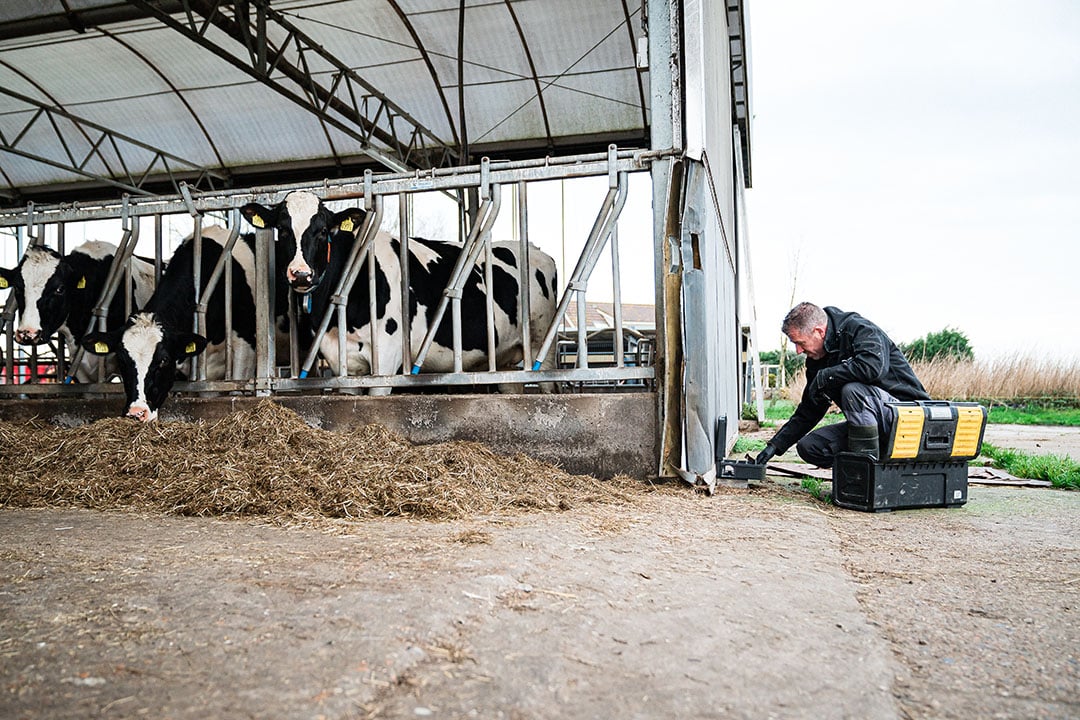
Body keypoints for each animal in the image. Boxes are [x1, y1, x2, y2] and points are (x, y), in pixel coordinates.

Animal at [241, 188, 561, 390]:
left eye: (322, 231)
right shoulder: (344, 365)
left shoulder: (386, 360)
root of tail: (538, 250)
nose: (301, 274)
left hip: (541, 348)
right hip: (505, 359)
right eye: (283, 230)